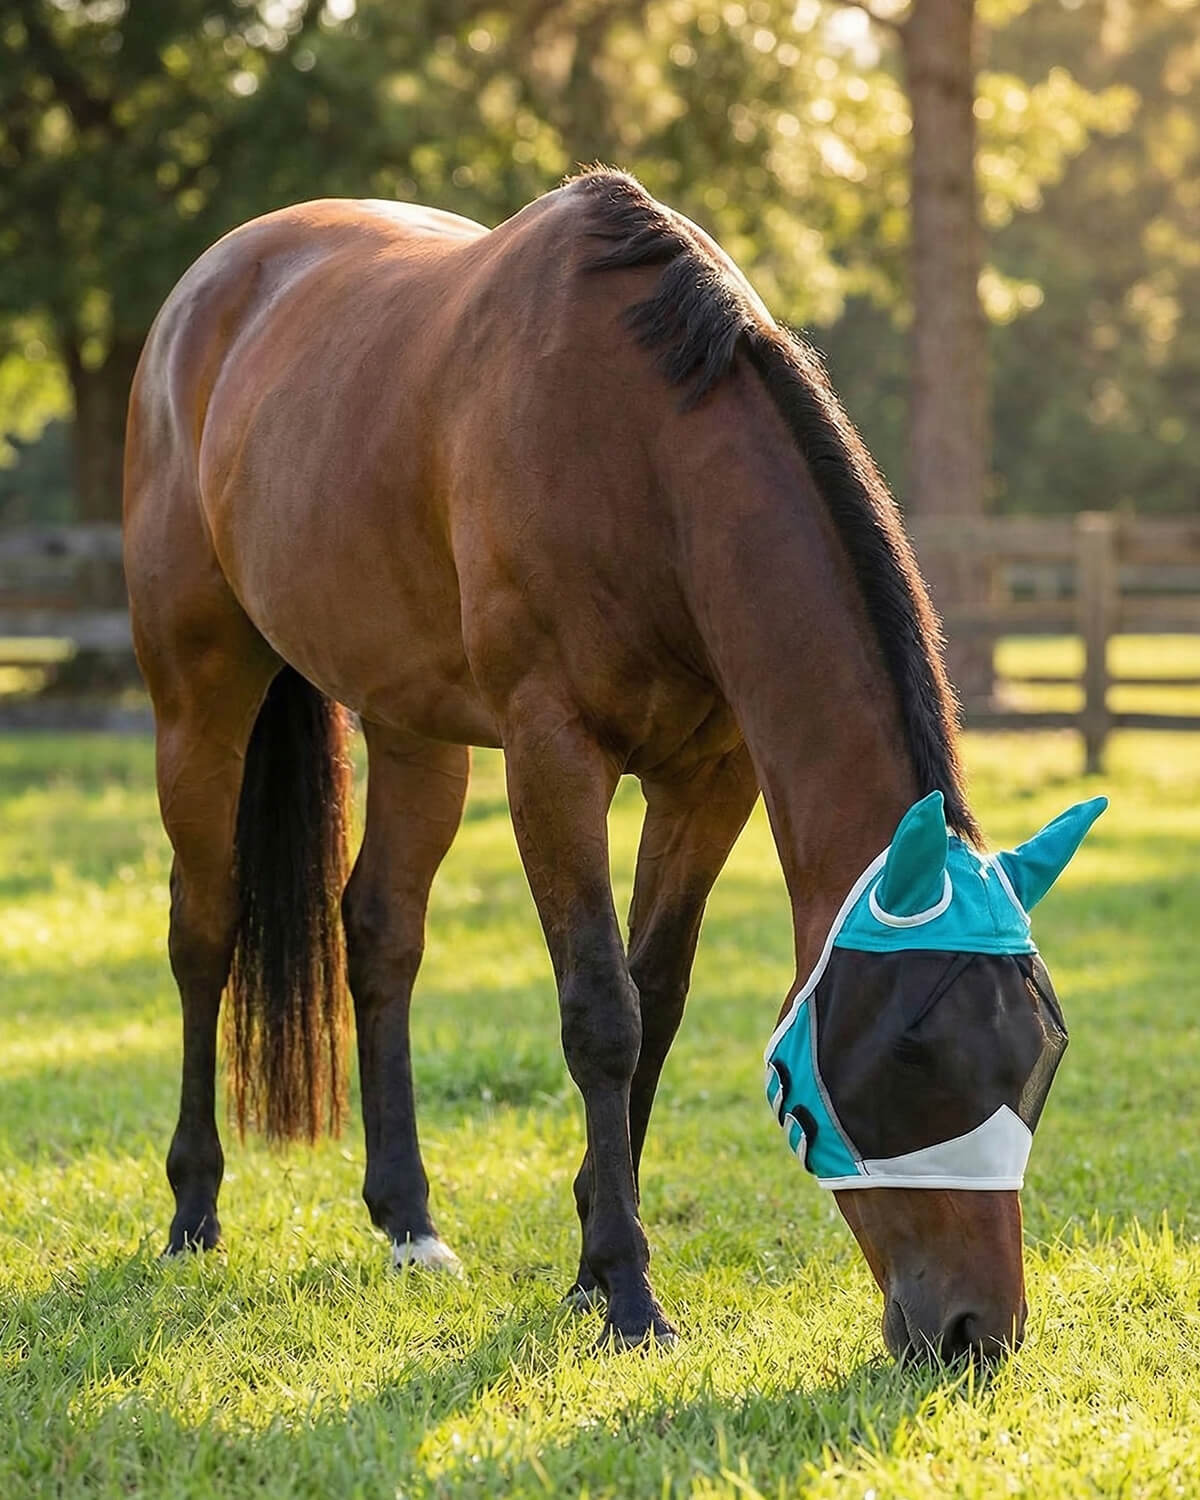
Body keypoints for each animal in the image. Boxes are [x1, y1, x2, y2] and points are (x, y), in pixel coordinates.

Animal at [124, 168, 1084, 1360]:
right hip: (199, 699)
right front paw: (627, 1291)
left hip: (414, 730)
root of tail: (211, 283)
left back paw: (410, 1224)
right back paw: (194, 1210)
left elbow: (654, 1001)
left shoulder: (709, 779)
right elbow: (601, 1012)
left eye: (1039, 1058)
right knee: (203, 933)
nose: (976, 1334)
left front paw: (589, 1264)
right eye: (915, 1053)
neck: (640, 453)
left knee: (381, 935)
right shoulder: (552, 758)